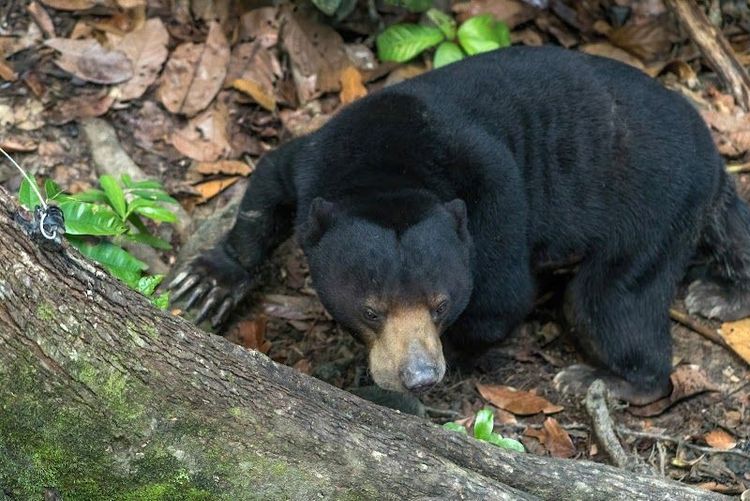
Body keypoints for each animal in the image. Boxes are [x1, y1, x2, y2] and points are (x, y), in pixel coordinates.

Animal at [168, 45, 750, 404]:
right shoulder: (315, 160)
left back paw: (603, 379)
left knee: (606, 301)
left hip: (653, 208)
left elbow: (502, 298)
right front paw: (205, 283)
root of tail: (714, 159)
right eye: (371, 309)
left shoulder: (497, 202)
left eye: (440, 304)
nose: (421, 377)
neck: (390, 166)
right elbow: (268, 182)